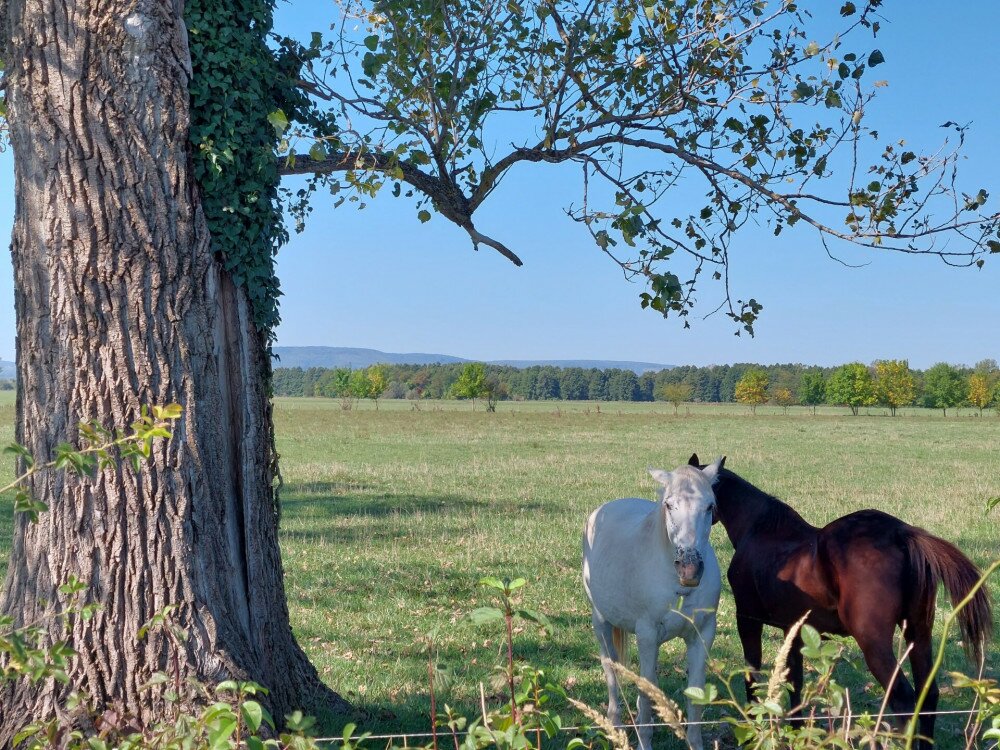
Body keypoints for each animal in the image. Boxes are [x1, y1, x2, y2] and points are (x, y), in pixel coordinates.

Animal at [584, 458, 724, 750]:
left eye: (710, 506)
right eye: (669, 505)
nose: (690, 569)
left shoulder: (703, 635)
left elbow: (694, 697)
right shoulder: (647, 635)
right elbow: (646, 694)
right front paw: (643, 740)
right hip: (601, 622)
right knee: (611, 669)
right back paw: (616, 727)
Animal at [692, 456, 996, 748]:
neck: (759, 529)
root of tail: (903, 533)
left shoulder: (747, 620)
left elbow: (752, 677)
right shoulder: (794, 631)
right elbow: (795, 685)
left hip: (874, 644)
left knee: (902, 699)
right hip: (918, 633)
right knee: (927, 694)